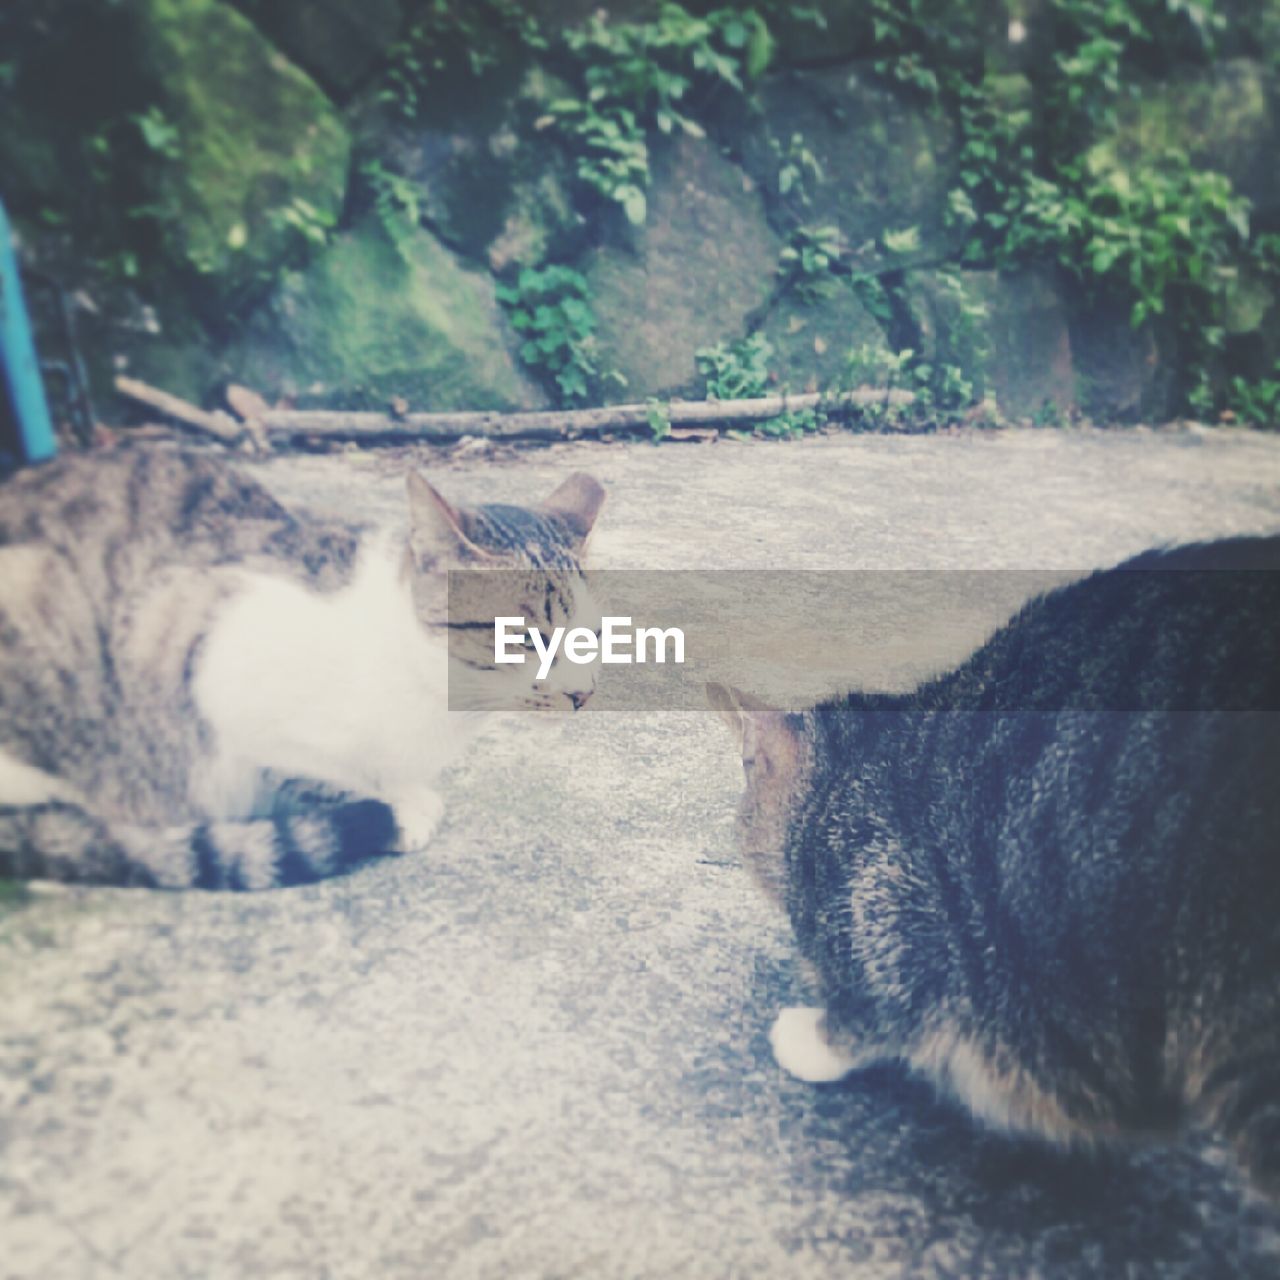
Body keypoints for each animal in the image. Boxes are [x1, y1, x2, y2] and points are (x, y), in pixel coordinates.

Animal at [0, 445, 604, 896]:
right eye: (526, 637)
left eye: (591, 636)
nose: (583, 695)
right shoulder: (205, 661)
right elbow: (312, 769)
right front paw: (395, 806)